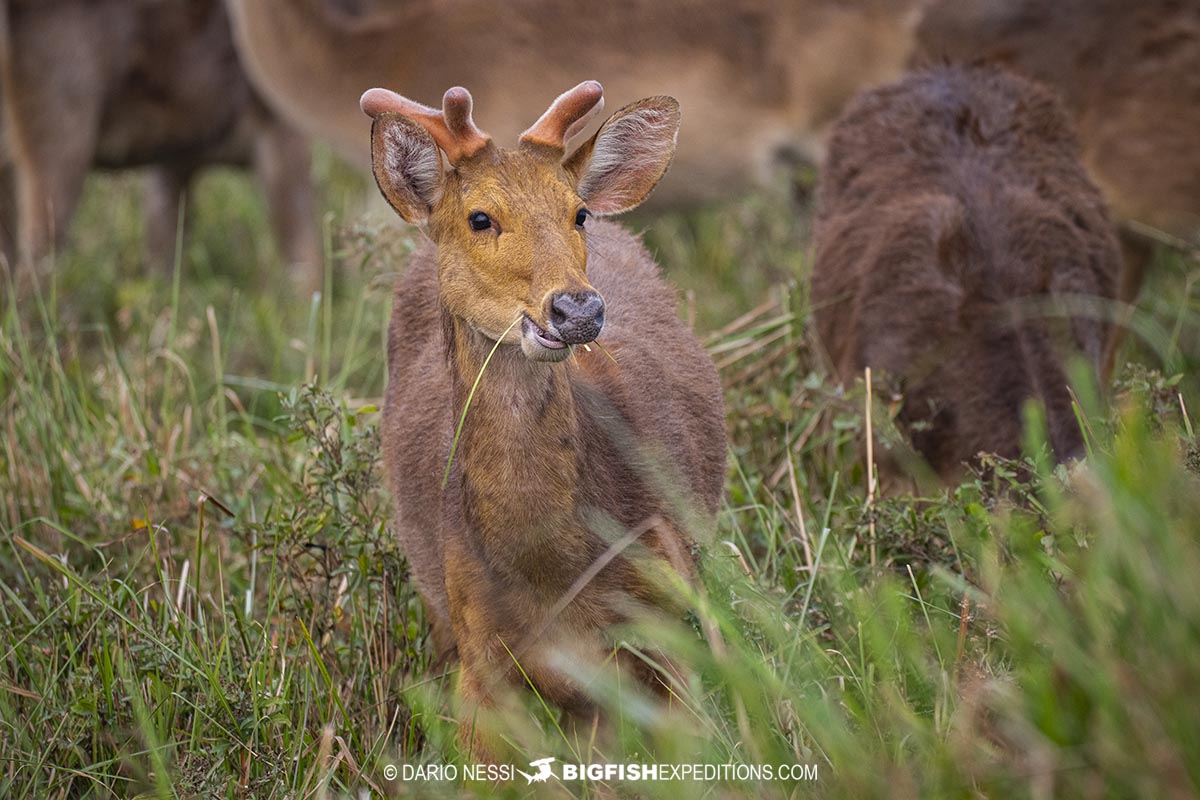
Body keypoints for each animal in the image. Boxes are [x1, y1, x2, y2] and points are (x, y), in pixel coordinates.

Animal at [0, 0, 319, 286]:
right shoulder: (284, 127)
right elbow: (305, 260)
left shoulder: (175, 158)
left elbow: (163, 244)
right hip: (63, 113)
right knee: (37, 254)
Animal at [364, 81, 724, 758]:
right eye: (480, 217)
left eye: (576, 214)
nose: (577, 309)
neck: (554, 572)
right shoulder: (480, 654)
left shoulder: (671, 619)